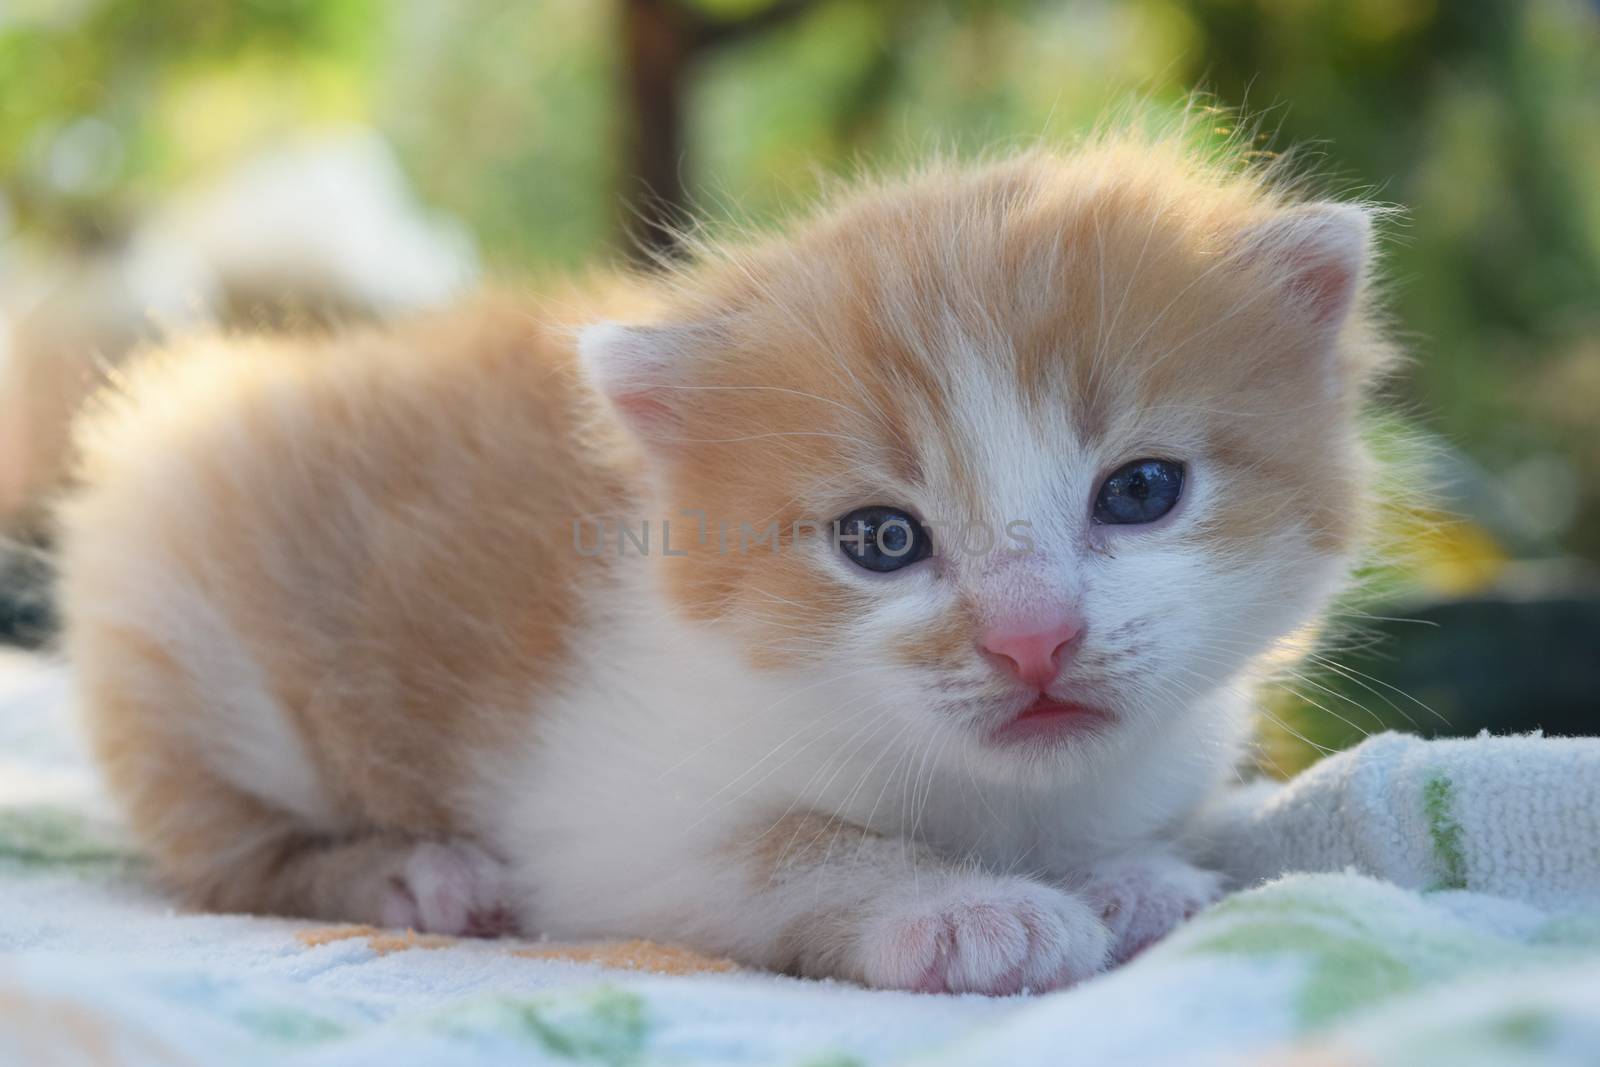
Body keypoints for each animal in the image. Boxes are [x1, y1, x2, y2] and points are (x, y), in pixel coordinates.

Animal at [62, 137, 1388, 998]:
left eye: (1141, 491)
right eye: (881, 539)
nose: (1032, 638)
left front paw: (1131, 873)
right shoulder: (601, 820)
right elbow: (786, 846)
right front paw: (968, 907)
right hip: (184, 617)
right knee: (224, 859)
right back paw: (411, 875)